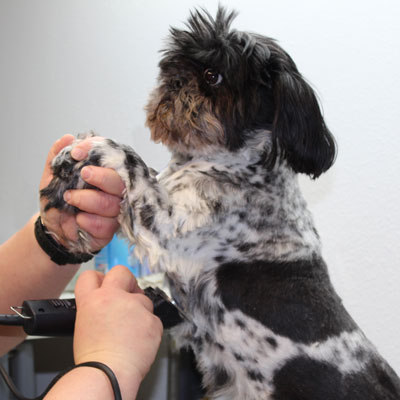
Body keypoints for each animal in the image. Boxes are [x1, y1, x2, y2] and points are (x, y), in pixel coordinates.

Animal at [41, 6, 400, 400]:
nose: (174, 81)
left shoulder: (169, 227)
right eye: (171, 64)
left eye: (213, 75)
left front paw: (95, 146)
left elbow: (132, 162)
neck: (226, 166)